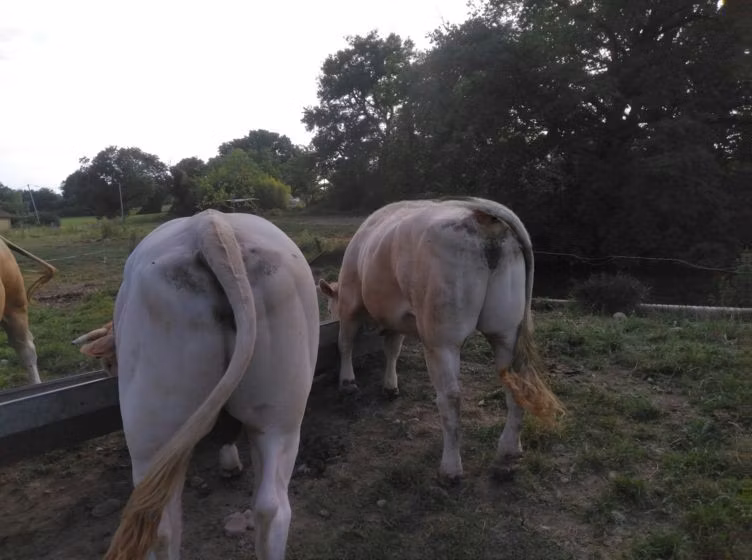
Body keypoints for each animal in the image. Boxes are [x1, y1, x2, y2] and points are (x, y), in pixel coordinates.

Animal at [318, 197, 564, 482]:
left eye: (329, 308)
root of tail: (480, 216)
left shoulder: (350, 303)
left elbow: (345, 343)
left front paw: (347, 382)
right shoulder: (395, 316)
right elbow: (392, 349)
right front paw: (390, 386)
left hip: (441, 336)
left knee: (450, 397)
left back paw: (451, 469)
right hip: (507, 328)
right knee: (516, 384)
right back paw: (507, 454)